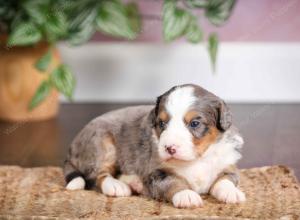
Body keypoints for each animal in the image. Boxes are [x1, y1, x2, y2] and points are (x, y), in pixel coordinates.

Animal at [64, 84, 245, 208]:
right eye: (162, 123)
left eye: (194, 123)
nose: (169, 148)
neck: (196, 160)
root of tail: (71, 147)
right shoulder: (156, 173)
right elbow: (173, 181)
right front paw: (186, 195)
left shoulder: (228, 164)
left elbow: (226, 179)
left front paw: (231, 193)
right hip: (101, 143)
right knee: (97, 175)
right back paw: (117, 186)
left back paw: (133, 182)